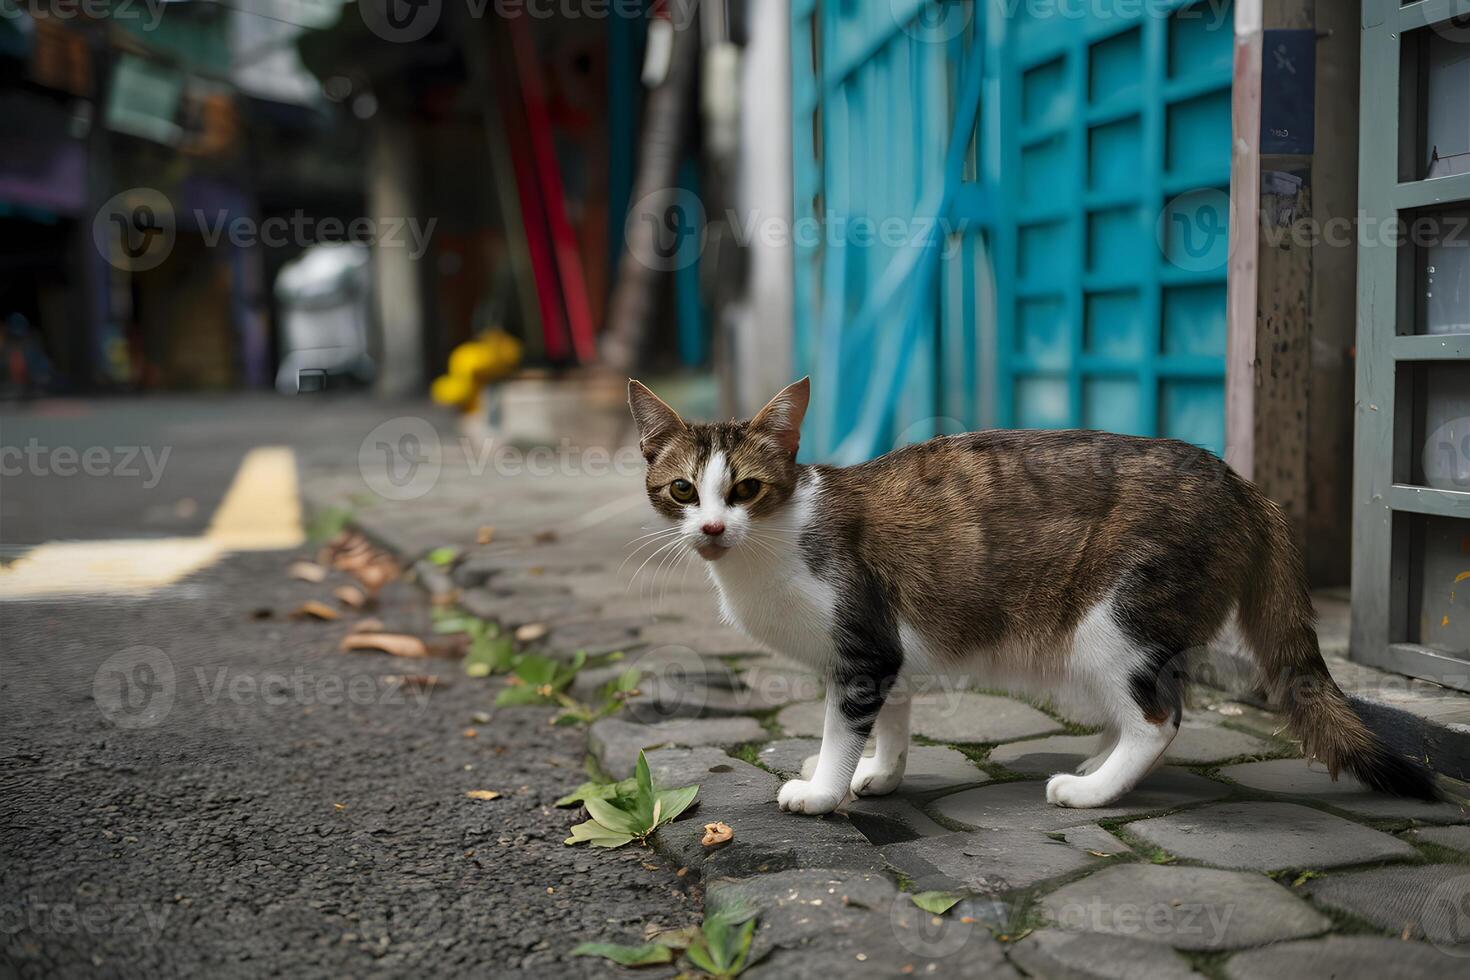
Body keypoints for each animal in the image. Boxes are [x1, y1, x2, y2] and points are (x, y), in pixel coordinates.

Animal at [626, 379, 1440, 816]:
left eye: (746, 490)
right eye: (682, 489)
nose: (711, 527)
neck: (774, 544)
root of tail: (1246, 487)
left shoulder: (860, 649)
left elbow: (843, 726)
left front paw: (826, 789)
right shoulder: (886, 655)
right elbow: (892, 719)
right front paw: (879, 774)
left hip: (1114, 617)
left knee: (1160, 717)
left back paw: (1093, 790)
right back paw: (1098, 761)